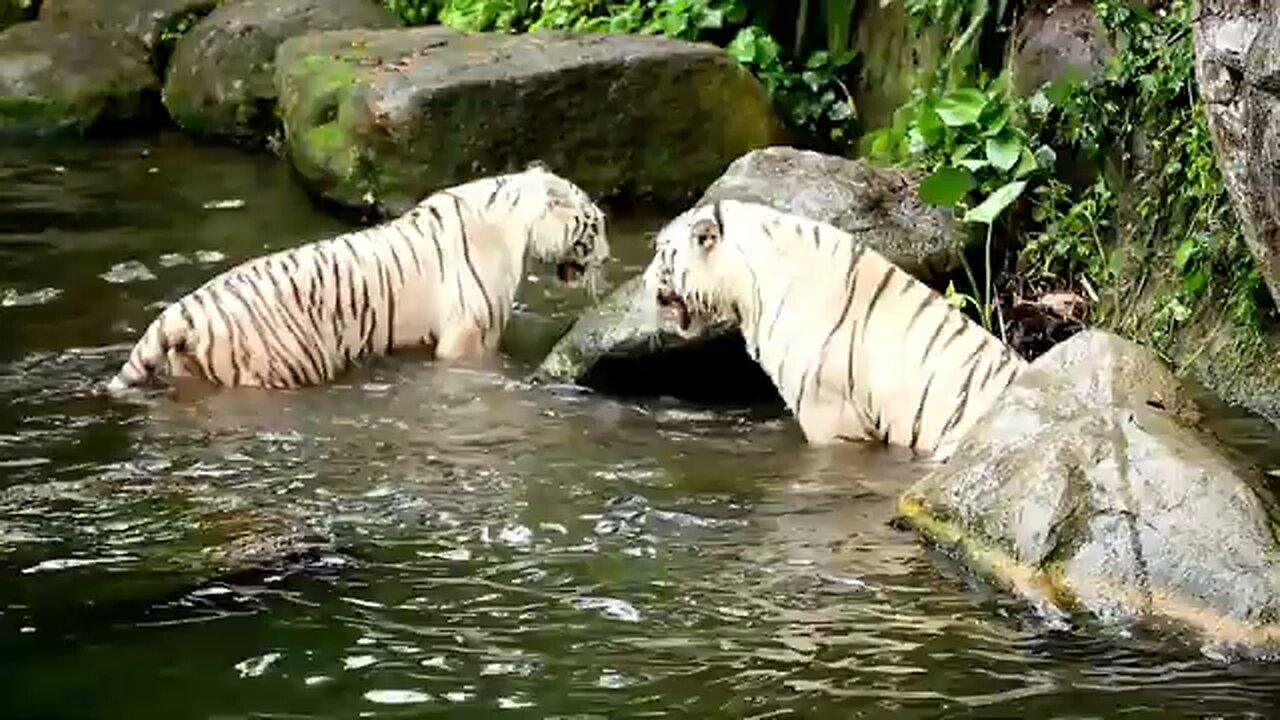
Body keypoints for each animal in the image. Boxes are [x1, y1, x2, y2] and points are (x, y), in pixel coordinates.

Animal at [105, 161, 610, 393]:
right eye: (596, 225)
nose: (607, 258)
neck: (518, 226)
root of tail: (180, 312)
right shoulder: (469, 335)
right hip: (283, 366)